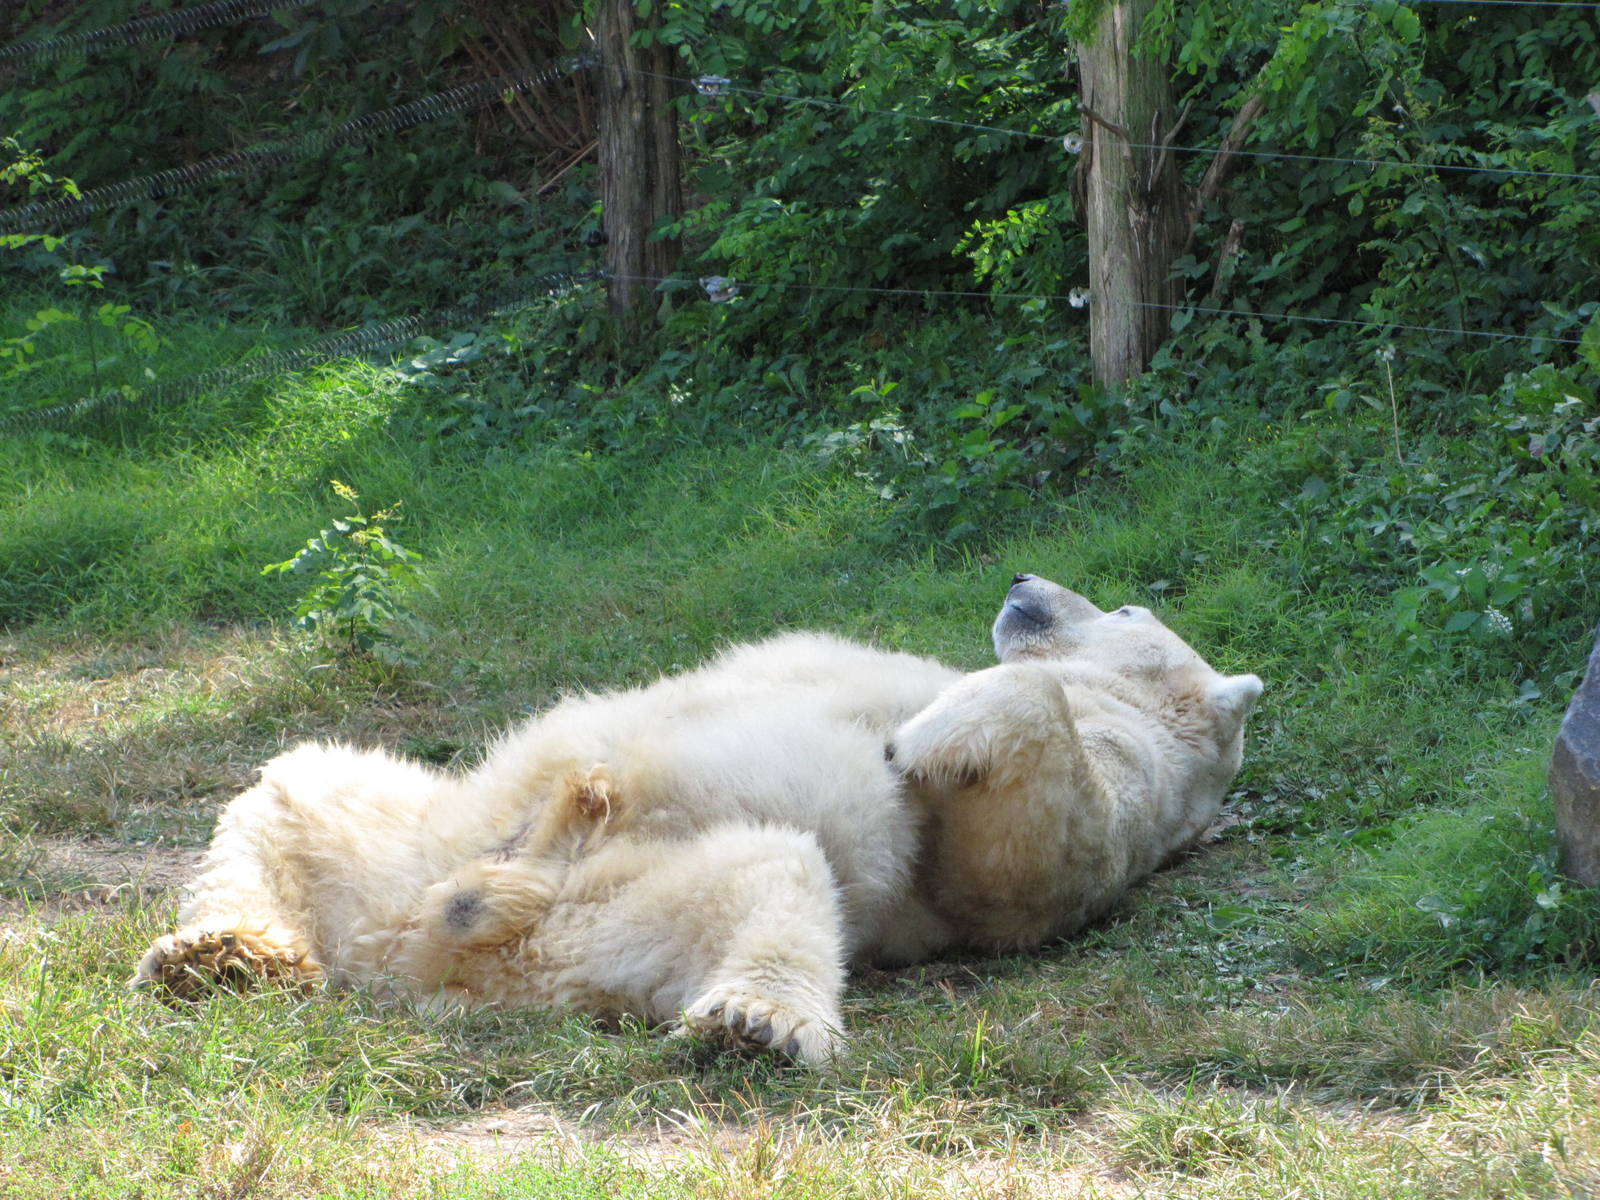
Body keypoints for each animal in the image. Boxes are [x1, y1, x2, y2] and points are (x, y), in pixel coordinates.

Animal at [132, 575, 1261, 1066]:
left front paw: (916, 737)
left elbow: (1013, 860)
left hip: (604, 910)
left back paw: (757, 1021)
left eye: (1124, 607)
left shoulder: (1116, 781)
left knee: (774, 876)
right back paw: (219, 954)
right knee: (295, 781)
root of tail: (424, 953)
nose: (1024, 580)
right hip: (417, 843)